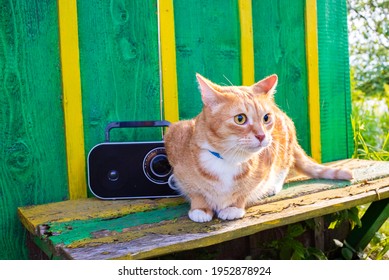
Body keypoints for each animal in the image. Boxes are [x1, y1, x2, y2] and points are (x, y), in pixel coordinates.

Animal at [164, 73, 352, 222]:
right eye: (240, 119)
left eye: (266, 118)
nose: (262, 135)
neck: (228, 159)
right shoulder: (175, 140)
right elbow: (195, 191)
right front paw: (200, 208)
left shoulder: (264, 167)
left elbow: (245, 191)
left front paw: (234, 207)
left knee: (284, 166)